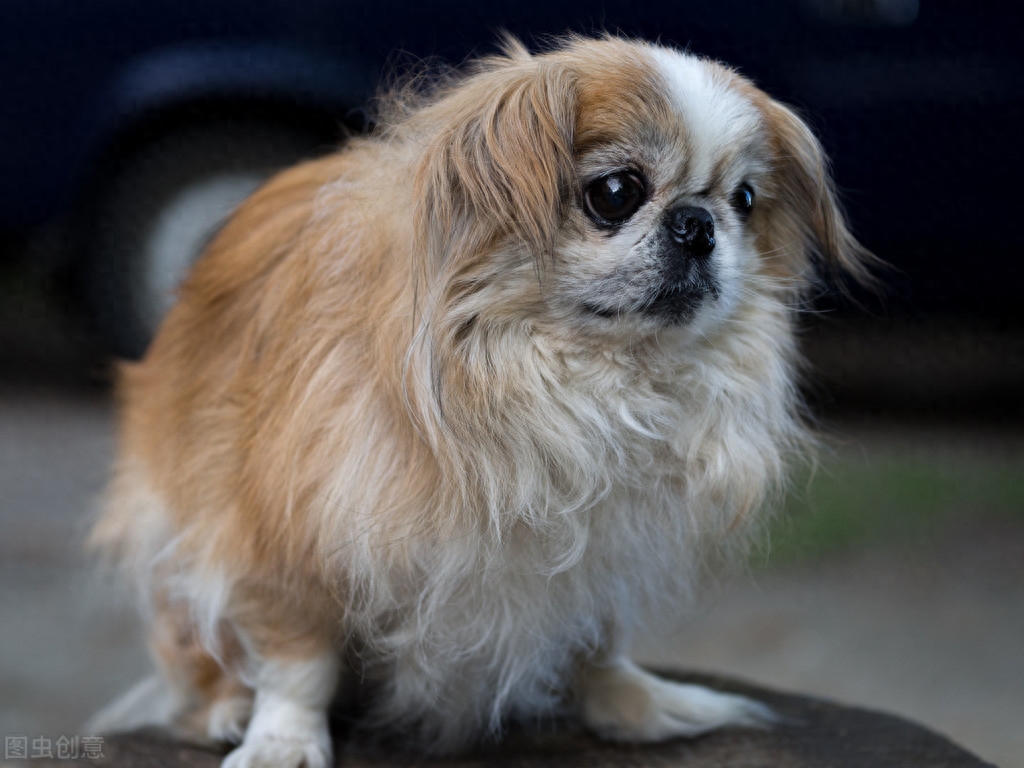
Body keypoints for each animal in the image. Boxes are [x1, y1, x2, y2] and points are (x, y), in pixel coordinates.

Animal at [90, 33, 872, 765]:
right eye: (616, 193)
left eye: (744, 201)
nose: (698, 224)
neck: (571, 383)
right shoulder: (281, 532)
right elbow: (296, 660)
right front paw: (282, 740)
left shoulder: (600, 549)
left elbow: (598, 639)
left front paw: (631, 704)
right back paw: (224, 708)